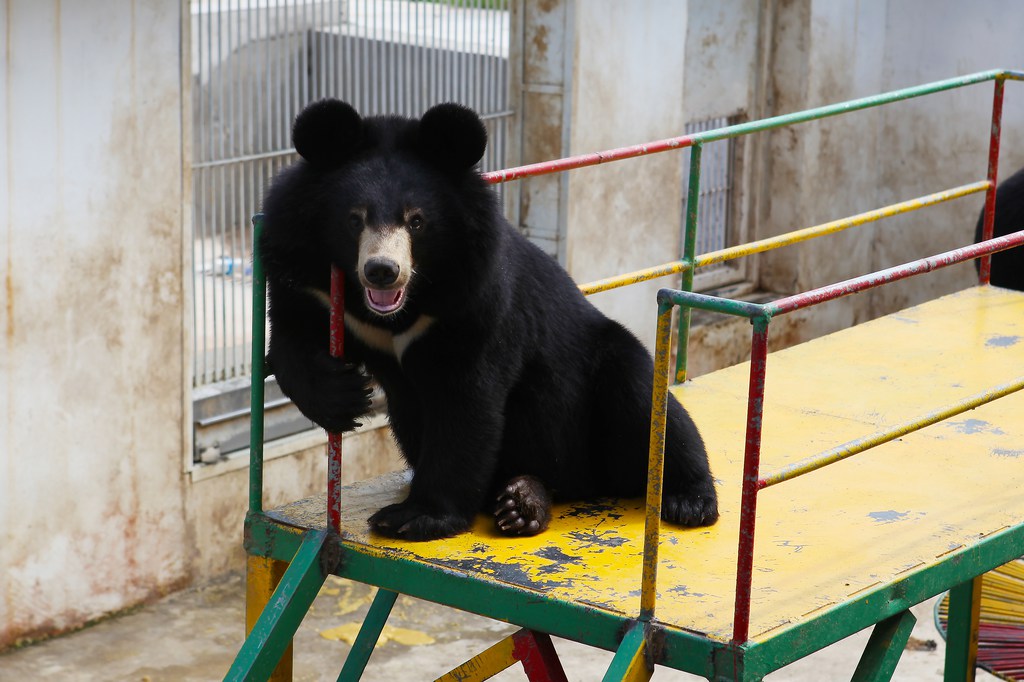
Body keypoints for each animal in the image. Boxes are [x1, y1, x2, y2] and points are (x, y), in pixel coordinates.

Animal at [259, 99, 719, 541]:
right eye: (355, 219)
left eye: (416, 220)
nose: (382, 271)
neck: (401, 309)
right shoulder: (303, 276)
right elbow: (289, 339)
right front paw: (343, 398)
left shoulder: (474, 301)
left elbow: (466, 401)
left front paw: (414, 517)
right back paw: (522, 503)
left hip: (606, 374)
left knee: (652, 408)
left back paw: (689, 501)